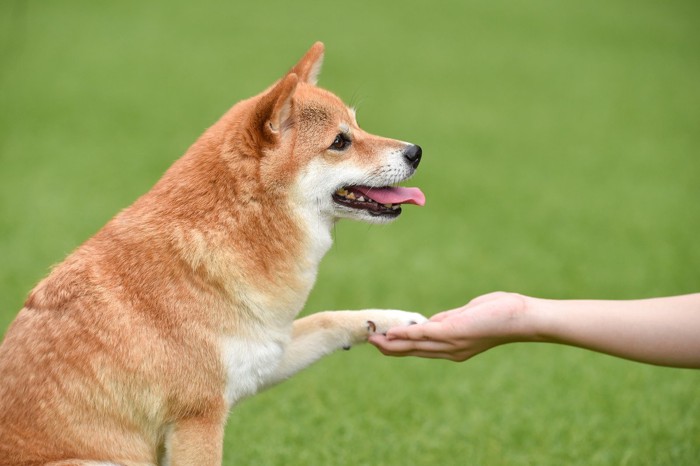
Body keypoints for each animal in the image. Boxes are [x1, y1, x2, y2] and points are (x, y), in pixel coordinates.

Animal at [0, 41, 426, 464]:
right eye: (339, 142)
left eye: (357, 126)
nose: (416, 151)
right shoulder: (199, 416)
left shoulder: (264, 353)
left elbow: (326, 320)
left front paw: (391, 320)